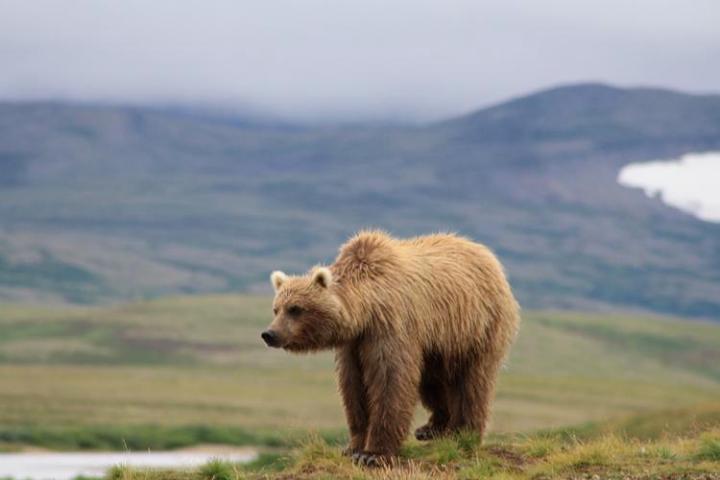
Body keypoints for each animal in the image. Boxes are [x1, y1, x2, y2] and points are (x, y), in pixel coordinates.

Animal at [262, 231, 520, 466]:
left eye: (296, 309)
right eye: (276, 308)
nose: (269, 334)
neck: (366, 310)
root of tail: (486, 254)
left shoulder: (391, 327)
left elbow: (390, 381)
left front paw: (372, 454)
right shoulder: (354, 344)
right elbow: (353, 387)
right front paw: (352, 446)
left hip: (476, 327)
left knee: (472, 381)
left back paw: (463, 433)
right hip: (437, 343)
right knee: (432, 380)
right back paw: (431, 428)